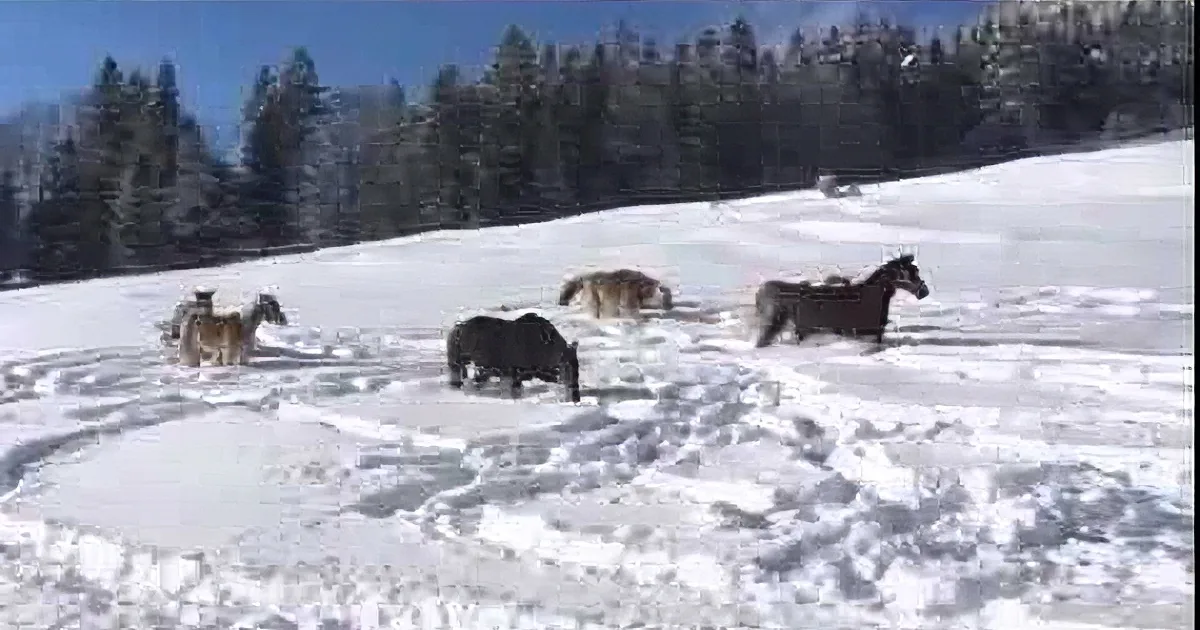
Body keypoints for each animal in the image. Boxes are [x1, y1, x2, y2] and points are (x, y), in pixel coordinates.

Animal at [446, 312, 581, 402]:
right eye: (565, 364)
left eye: (577, 367)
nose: (576, 398)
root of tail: (458, 329)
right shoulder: (509, 371)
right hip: (458, 363)